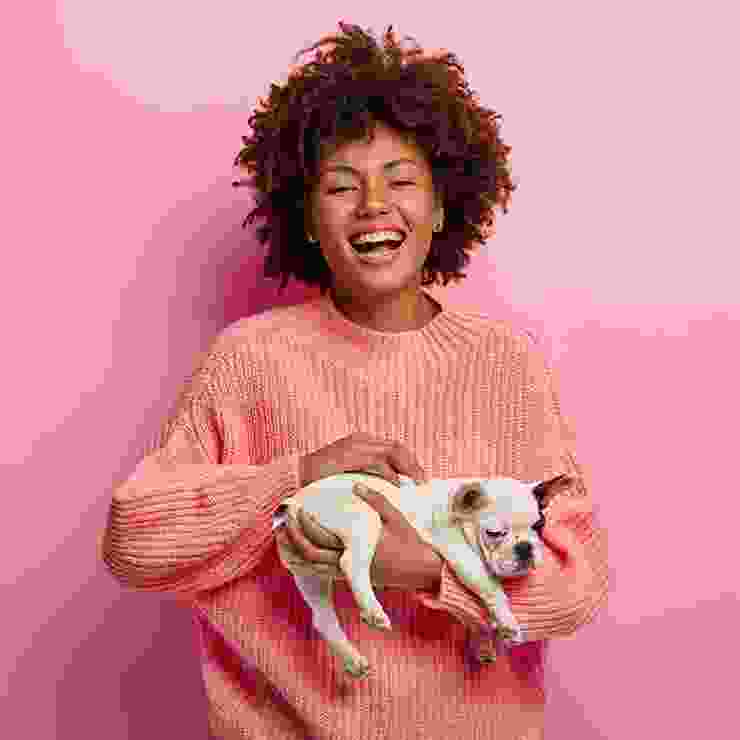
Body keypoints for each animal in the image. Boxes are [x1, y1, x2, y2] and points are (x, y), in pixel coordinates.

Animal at [272, 471, 573, 678]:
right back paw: (373, 611)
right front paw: (507, 621)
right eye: (494, 533)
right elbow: (489, 588)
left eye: (540, 526)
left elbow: (472, 614)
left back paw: (352, 659)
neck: (460, 513)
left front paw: (484, 643)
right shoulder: (462, 556)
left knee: (323, 619)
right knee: (352, 562)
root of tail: (293, 504)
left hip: (309, 574)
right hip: (363, 520)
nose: (525, 548)